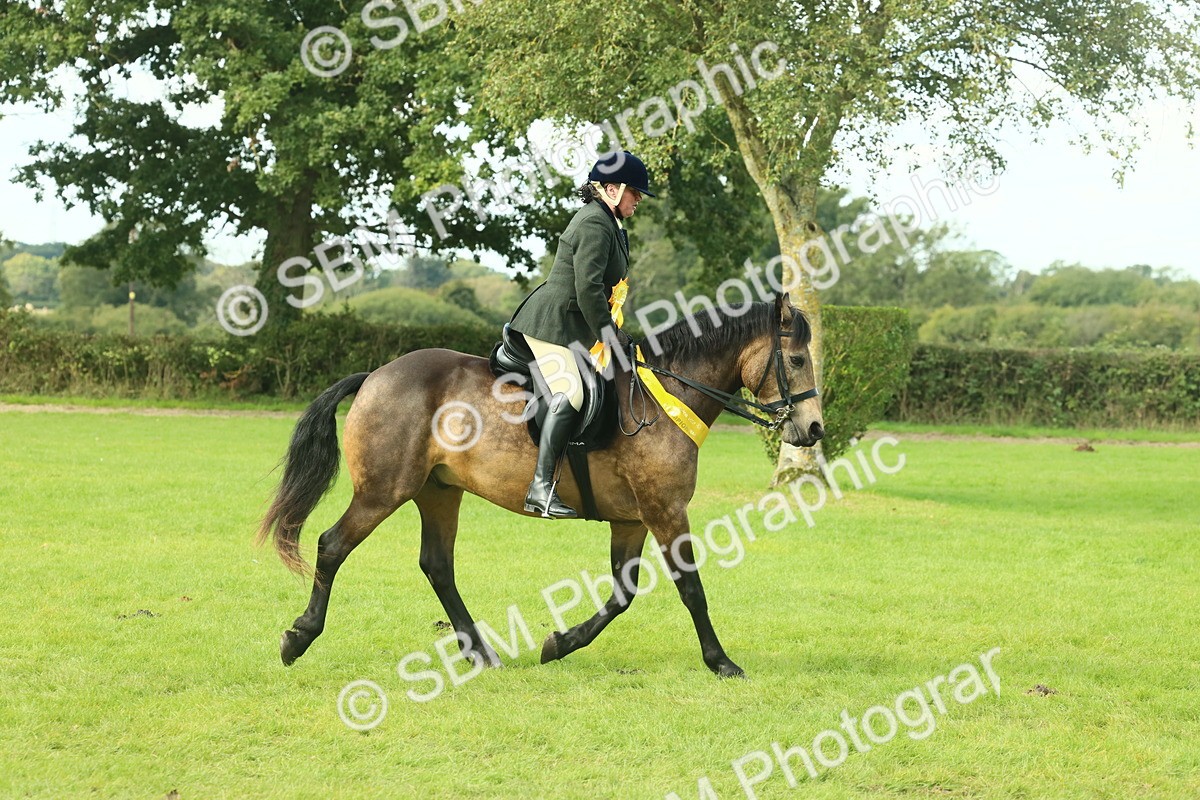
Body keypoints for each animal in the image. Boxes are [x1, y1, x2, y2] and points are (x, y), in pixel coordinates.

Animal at [257, 293, 824, 678]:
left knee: (437, 564)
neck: (667, 396)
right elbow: (691, 588)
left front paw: (559, 643)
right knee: (332, 545)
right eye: (797, 360)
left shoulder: (633, 518)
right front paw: (721, 661)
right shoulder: (665, 511)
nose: (814, 429)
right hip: (383, 492)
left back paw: (480, 652)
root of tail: (375, 375)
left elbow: (622, 594)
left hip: (438, 492)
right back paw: (298, 638)